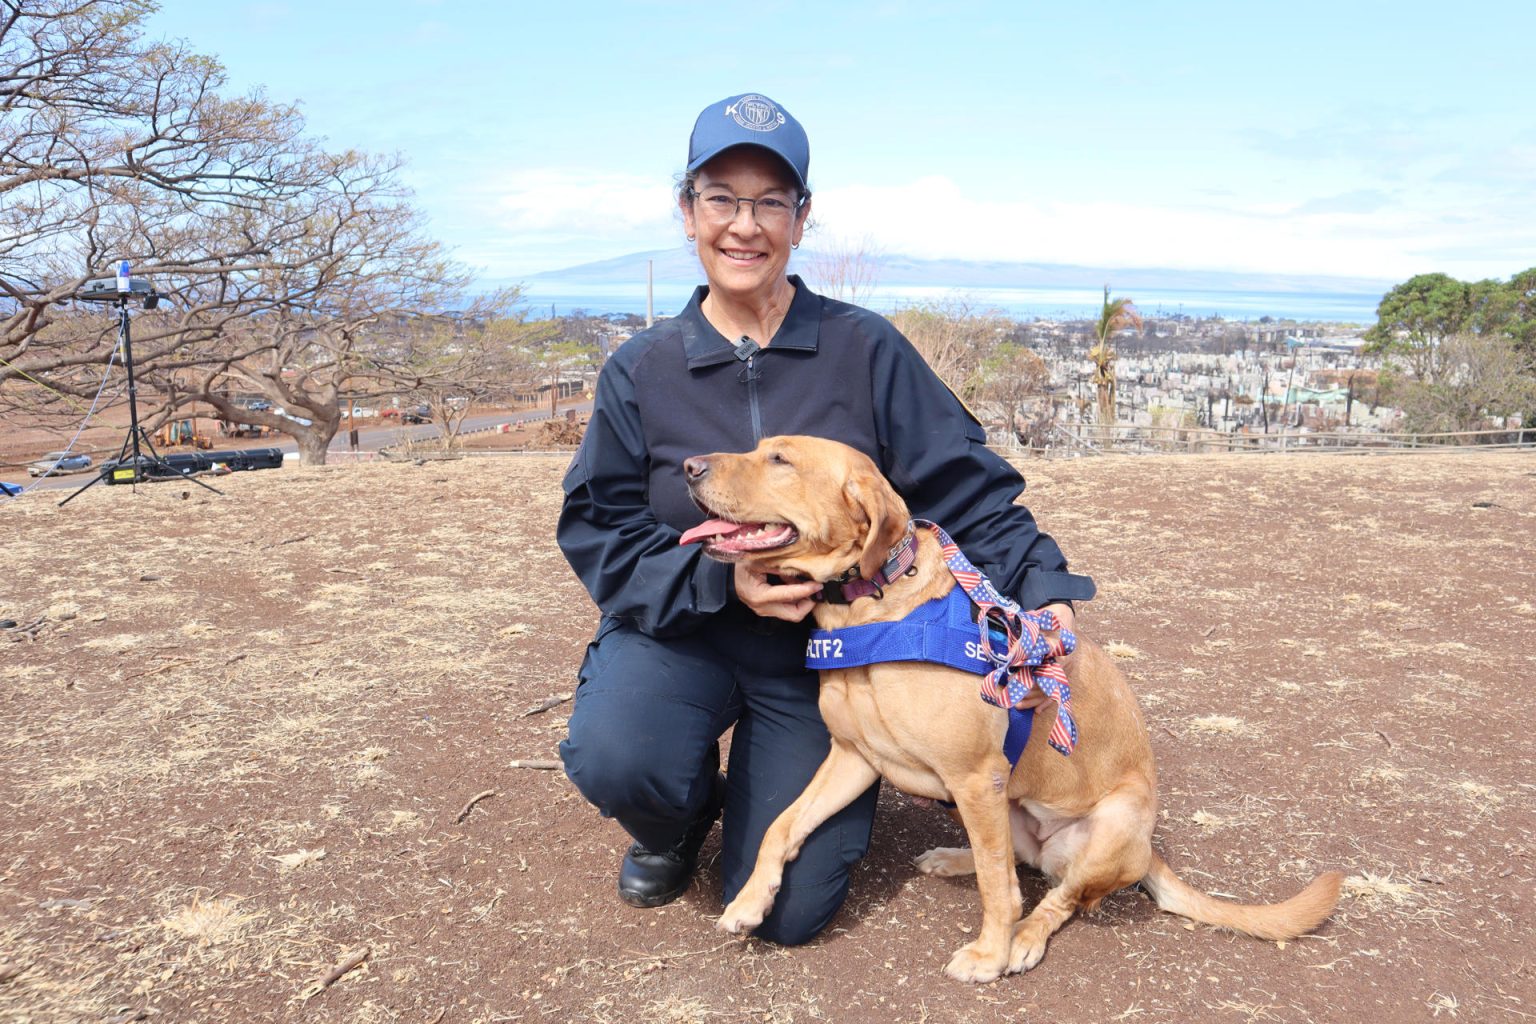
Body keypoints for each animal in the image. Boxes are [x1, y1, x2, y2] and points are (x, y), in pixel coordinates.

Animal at [678, 436, 1339, 982]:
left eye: (780, 459)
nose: (688, 465)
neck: (872, 607)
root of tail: (1149, 850)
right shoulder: (854, 759)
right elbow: (781, 825)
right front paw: (749, 900)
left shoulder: (976, 776)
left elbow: (1000, 891)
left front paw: (990, 955)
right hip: (1003, 810)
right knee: (1015, 860)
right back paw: (953, 858)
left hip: (1106, 823)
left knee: (1057, 895)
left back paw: (1023, 939)